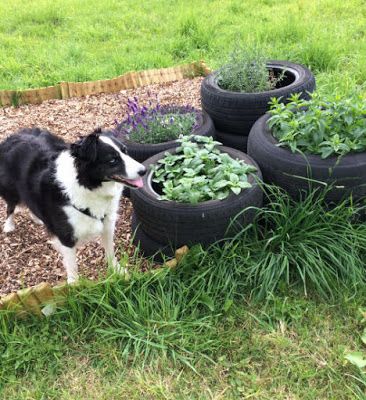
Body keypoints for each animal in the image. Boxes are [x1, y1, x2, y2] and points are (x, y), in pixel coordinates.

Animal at [0, 130, 146, 282]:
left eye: (126, 151)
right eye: (112, 160)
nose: (144, 170)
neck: (87, 185)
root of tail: (13, 136)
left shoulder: (107, 224)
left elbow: (110, 251)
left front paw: (118, 271)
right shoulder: (66, 236)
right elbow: (72, 265)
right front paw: (75, 285)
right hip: (10, 190)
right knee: (10, 206)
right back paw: (9, 226)